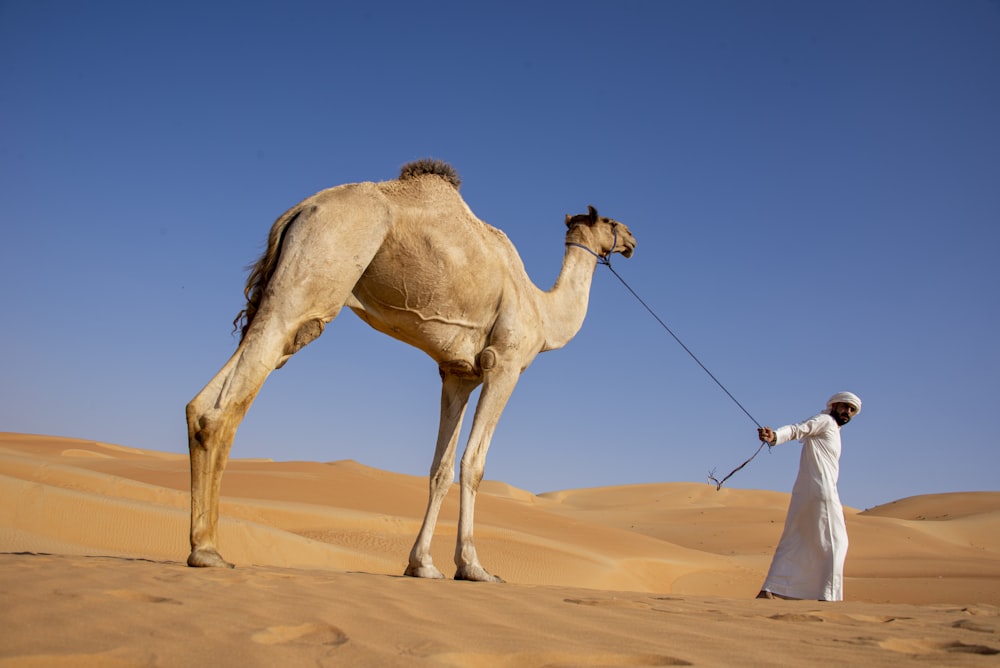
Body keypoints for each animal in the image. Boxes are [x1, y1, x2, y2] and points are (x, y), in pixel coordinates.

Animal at [185, 159, 636, 580]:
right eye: (611, 222)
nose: (632, 240)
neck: (544, 312)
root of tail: (299, 209)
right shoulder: (504, 364)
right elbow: (474, 465)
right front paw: (474, 567)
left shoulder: (458, 374)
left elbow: (440, 469)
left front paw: (422, 564)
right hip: (314, 277)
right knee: (227, 402)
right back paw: (208, 551)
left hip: (285, 290)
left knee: (205, 400)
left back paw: (202, 546)